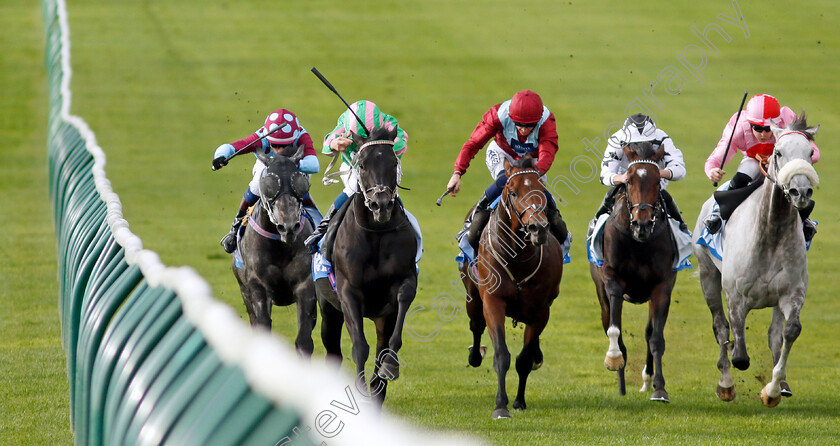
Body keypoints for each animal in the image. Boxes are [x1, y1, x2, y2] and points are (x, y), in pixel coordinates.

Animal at [231, 148, 316, 358]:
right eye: (269, 185)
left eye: (300, 185)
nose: (289, 227)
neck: (280, 247)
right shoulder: (258, 287)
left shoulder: (306, 286)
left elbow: (304, 341)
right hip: (244, 292)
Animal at [316, 127, 418, 406]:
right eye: (361, 164)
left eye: (393, 162)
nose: (380, 204)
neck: (376, 232)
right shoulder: (348, 291)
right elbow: (360, 346)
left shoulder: (404, 280)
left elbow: (403, 300)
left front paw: (389, 367)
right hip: (329, 310)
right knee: (333, 350)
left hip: (382, 316)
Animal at [460, 156, 564, 418]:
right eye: (514, 192)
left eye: (542, 192)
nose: (539, 228)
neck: (518, 258)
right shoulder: (493, 301)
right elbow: (501, 355)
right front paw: (501, 405)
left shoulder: (541, 310)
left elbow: (524, 359)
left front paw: (518, 401)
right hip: (472, 297)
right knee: (476, 325)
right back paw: (475, 355)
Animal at [588, 143, 680, 404]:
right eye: (628, 181)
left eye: (658, 181)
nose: (642, 224)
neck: (639, 242)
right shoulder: (612, 280)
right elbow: (614, 329)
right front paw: (613, 359)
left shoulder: (662, 286)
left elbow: (656, 337)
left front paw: (660, 389)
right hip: (601, 292)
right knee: (610, 322)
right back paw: (621, 383)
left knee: (649, 332)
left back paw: (648, 380)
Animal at [692, 113, 816, 406]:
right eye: (778, 152)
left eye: (810, 153)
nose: (801, 192)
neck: (771, 233)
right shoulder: (736, 296)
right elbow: (737, 350)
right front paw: (728, 380)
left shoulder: (792, 292)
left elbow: (789, 331)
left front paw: (773, 388)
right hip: (708, 275)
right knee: (720, 327)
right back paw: (725, 384)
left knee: (774, 335)